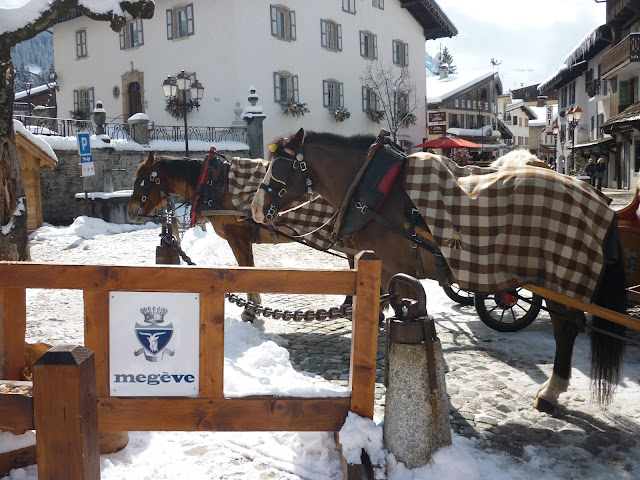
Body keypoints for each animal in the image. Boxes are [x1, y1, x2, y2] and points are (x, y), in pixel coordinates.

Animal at [127, 152, 352, 320]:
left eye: (141, 181)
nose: (130, 211)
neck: (213, 183)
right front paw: (255, 305)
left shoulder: (238, 238)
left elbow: (247, 270)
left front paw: (250, 309)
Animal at [252, 128, 628, 412]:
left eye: (279, 166)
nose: (256, 208)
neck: (377, 191)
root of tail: (599, 201)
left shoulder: (391, 268)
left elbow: (385, 313)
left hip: (563, 280)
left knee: (565, 331)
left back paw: (551, 392)